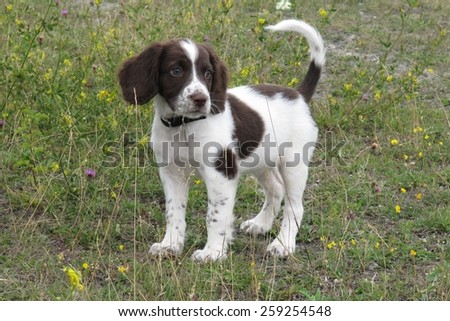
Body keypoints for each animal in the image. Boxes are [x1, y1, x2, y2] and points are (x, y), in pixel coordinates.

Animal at [118, 19, 326, 260]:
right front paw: (170, 245)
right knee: (275, 189)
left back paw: (282, 245)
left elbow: (215, 216)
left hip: (294, 163)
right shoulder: (171, 172)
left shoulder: (221, 174)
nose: (201, 99)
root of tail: (299, 94)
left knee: (295, 206)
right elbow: (173, 211)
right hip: (261, 160)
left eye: (208, 73)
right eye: (176, 71)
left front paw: (213, 253)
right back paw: (260, 224)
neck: (184, 125)